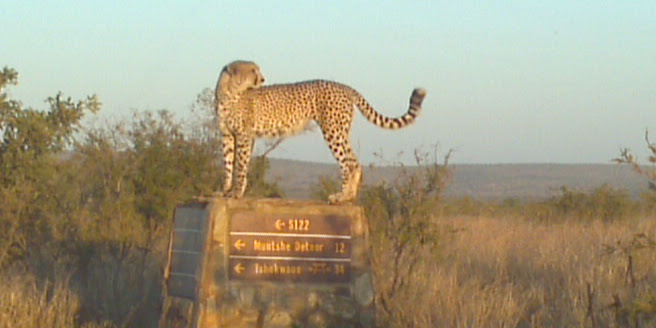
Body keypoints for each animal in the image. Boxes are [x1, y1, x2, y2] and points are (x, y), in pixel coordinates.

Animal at [215, 59, 428, 202]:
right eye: (253, 70)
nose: (262, 78)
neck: (228, 93)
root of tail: (342, 85)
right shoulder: (227, 136)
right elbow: (228, 164)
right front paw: (225, 190)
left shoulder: (244, 136)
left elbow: (240, 165)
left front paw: (236, 192)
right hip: (340, 131)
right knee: (354, 162)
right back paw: (348, 196)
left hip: (333, 131)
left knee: (347, 163)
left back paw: (340, 196)